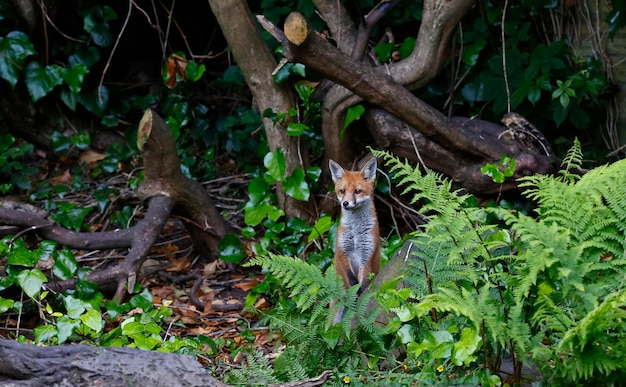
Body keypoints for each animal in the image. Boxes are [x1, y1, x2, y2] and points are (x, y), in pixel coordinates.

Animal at [330, 158, 378, 300]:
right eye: (342, 191)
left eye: (357, 191)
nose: (345, 203)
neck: (356, 231)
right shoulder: (342, 251)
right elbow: (351, 279)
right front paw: (354, 292)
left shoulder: (367, 253)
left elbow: (364, 281)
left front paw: (362, 292)